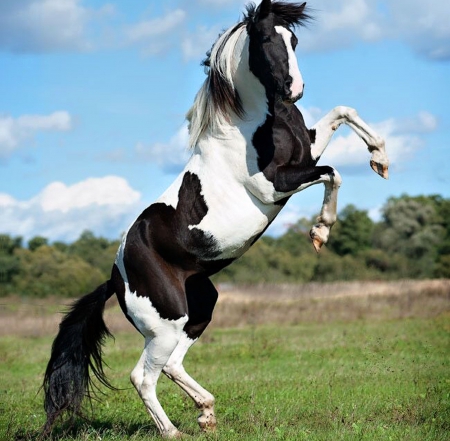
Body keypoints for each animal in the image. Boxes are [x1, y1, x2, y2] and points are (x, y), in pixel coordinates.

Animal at [42, 0, 388, 436]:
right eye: (266, 39)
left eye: (293, 39)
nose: (294, 90)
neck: (253, 123)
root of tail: (115, 276)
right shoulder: (273, 185)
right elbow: (333, 172)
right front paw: (320, 232)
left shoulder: (306, 152)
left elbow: (343, 112)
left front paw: (380, 157)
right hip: (166, 323)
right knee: (143, 376)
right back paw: (173, 432)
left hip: (200, 306)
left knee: (172, 364)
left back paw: (206, 412)